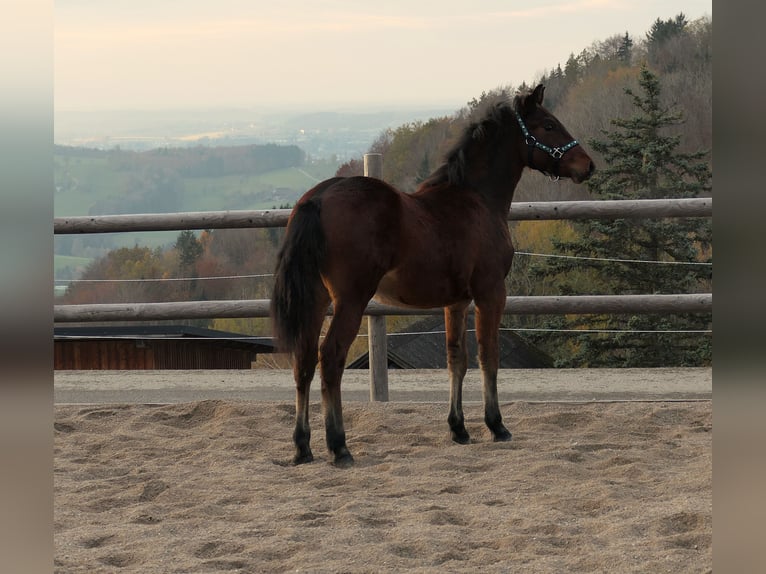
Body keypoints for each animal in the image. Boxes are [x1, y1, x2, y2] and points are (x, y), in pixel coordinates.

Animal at [272, 84, 596, 468]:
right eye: (548, 125)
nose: (587, 165)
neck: (476, 199)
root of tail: (318, 199)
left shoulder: (455, 301)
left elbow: (456, 358)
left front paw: (459, 429)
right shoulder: (491, 292)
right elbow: (488, 354)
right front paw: (496, 425)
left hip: (316, 299)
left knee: (304, 361)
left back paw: (302, 447)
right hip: (350, 300)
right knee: (331, 357)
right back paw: (339, 447)